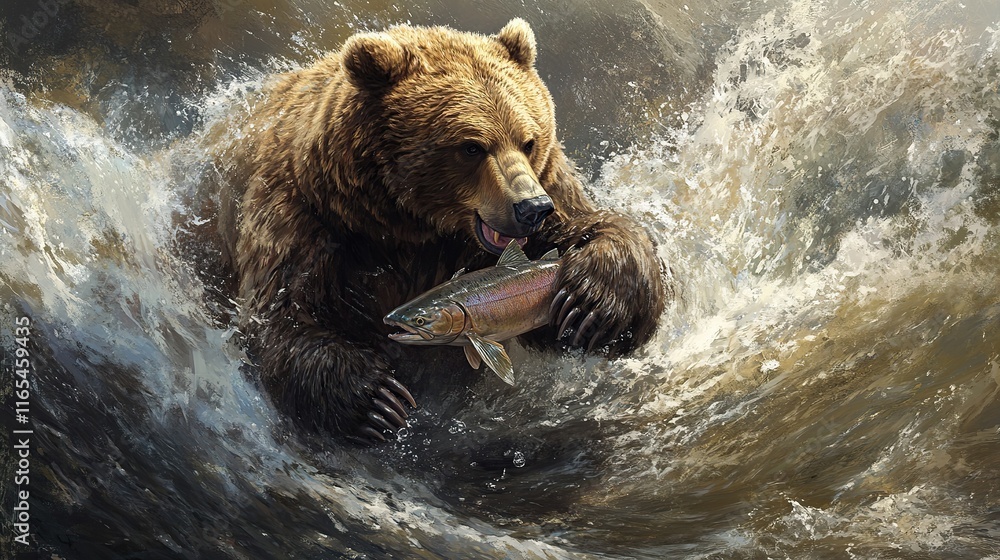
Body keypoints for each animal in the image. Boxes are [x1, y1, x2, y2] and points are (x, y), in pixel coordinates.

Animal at [217, 19, 670, 443]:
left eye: (528, 140)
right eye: (471, 147)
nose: (532, 209)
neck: (410, 228)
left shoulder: (548, 188)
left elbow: (589, 241)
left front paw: (590, 303)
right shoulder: (307, 217)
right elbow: (284, 315)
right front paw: (379, 401)